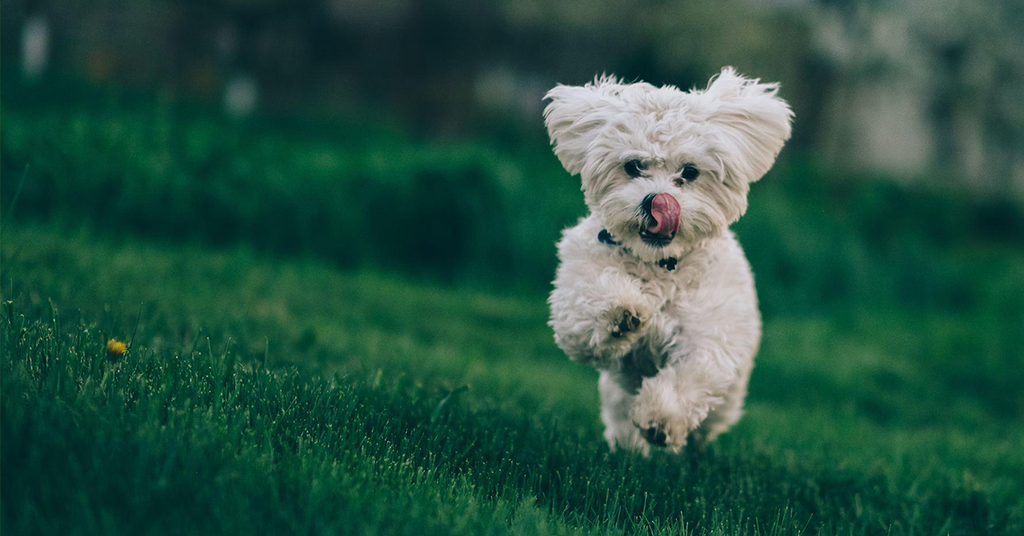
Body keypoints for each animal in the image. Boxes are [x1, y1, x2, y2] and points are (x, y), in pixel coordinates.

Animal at [544, 66, 790, 452]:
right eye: (633, 166)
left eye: (689, 172)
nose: (656, 202)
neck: (659, 265)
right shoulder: (574, 300)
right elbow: (588, 309)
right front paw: (623, 313)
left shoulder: (708, 335)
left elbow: (691, 376)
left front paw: (661, 419)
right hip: (616, 396)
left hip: (727, 401)